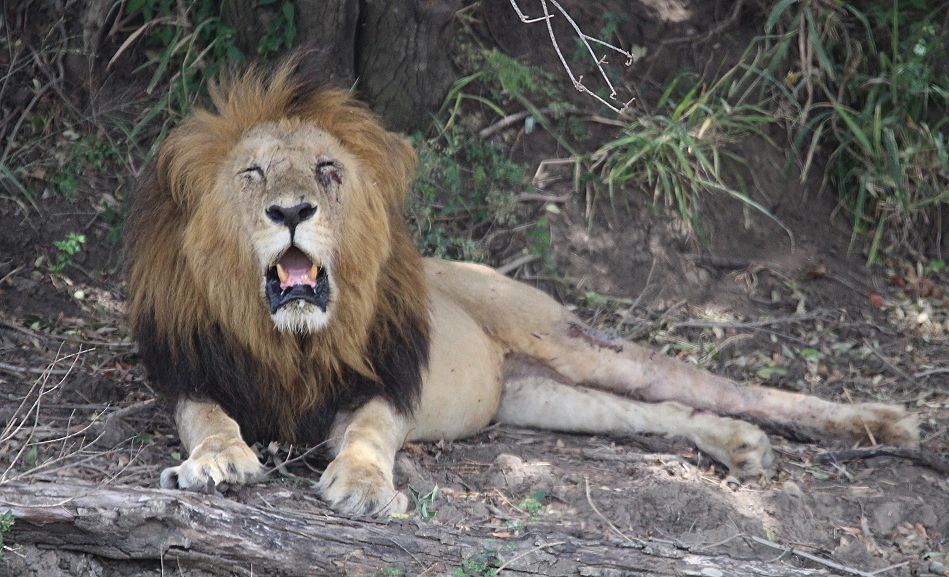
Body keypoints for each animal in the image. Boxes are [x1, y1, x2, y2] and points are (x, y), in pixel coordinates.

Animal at [128, 60, 920, 516]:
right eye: (253, 173)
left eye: (328, 169)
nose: (291, 212)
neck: (290, 340)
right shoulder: (191, 371)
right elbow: (208, 418)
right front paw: (217, 463)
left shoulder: (390, 380)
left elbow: (368, 433)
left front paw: (363, 486)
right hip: (538, 396)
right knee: (657, 410)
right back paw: (740, 447)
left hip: (569, 338)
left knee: (711, 383)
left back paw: (885, 422)